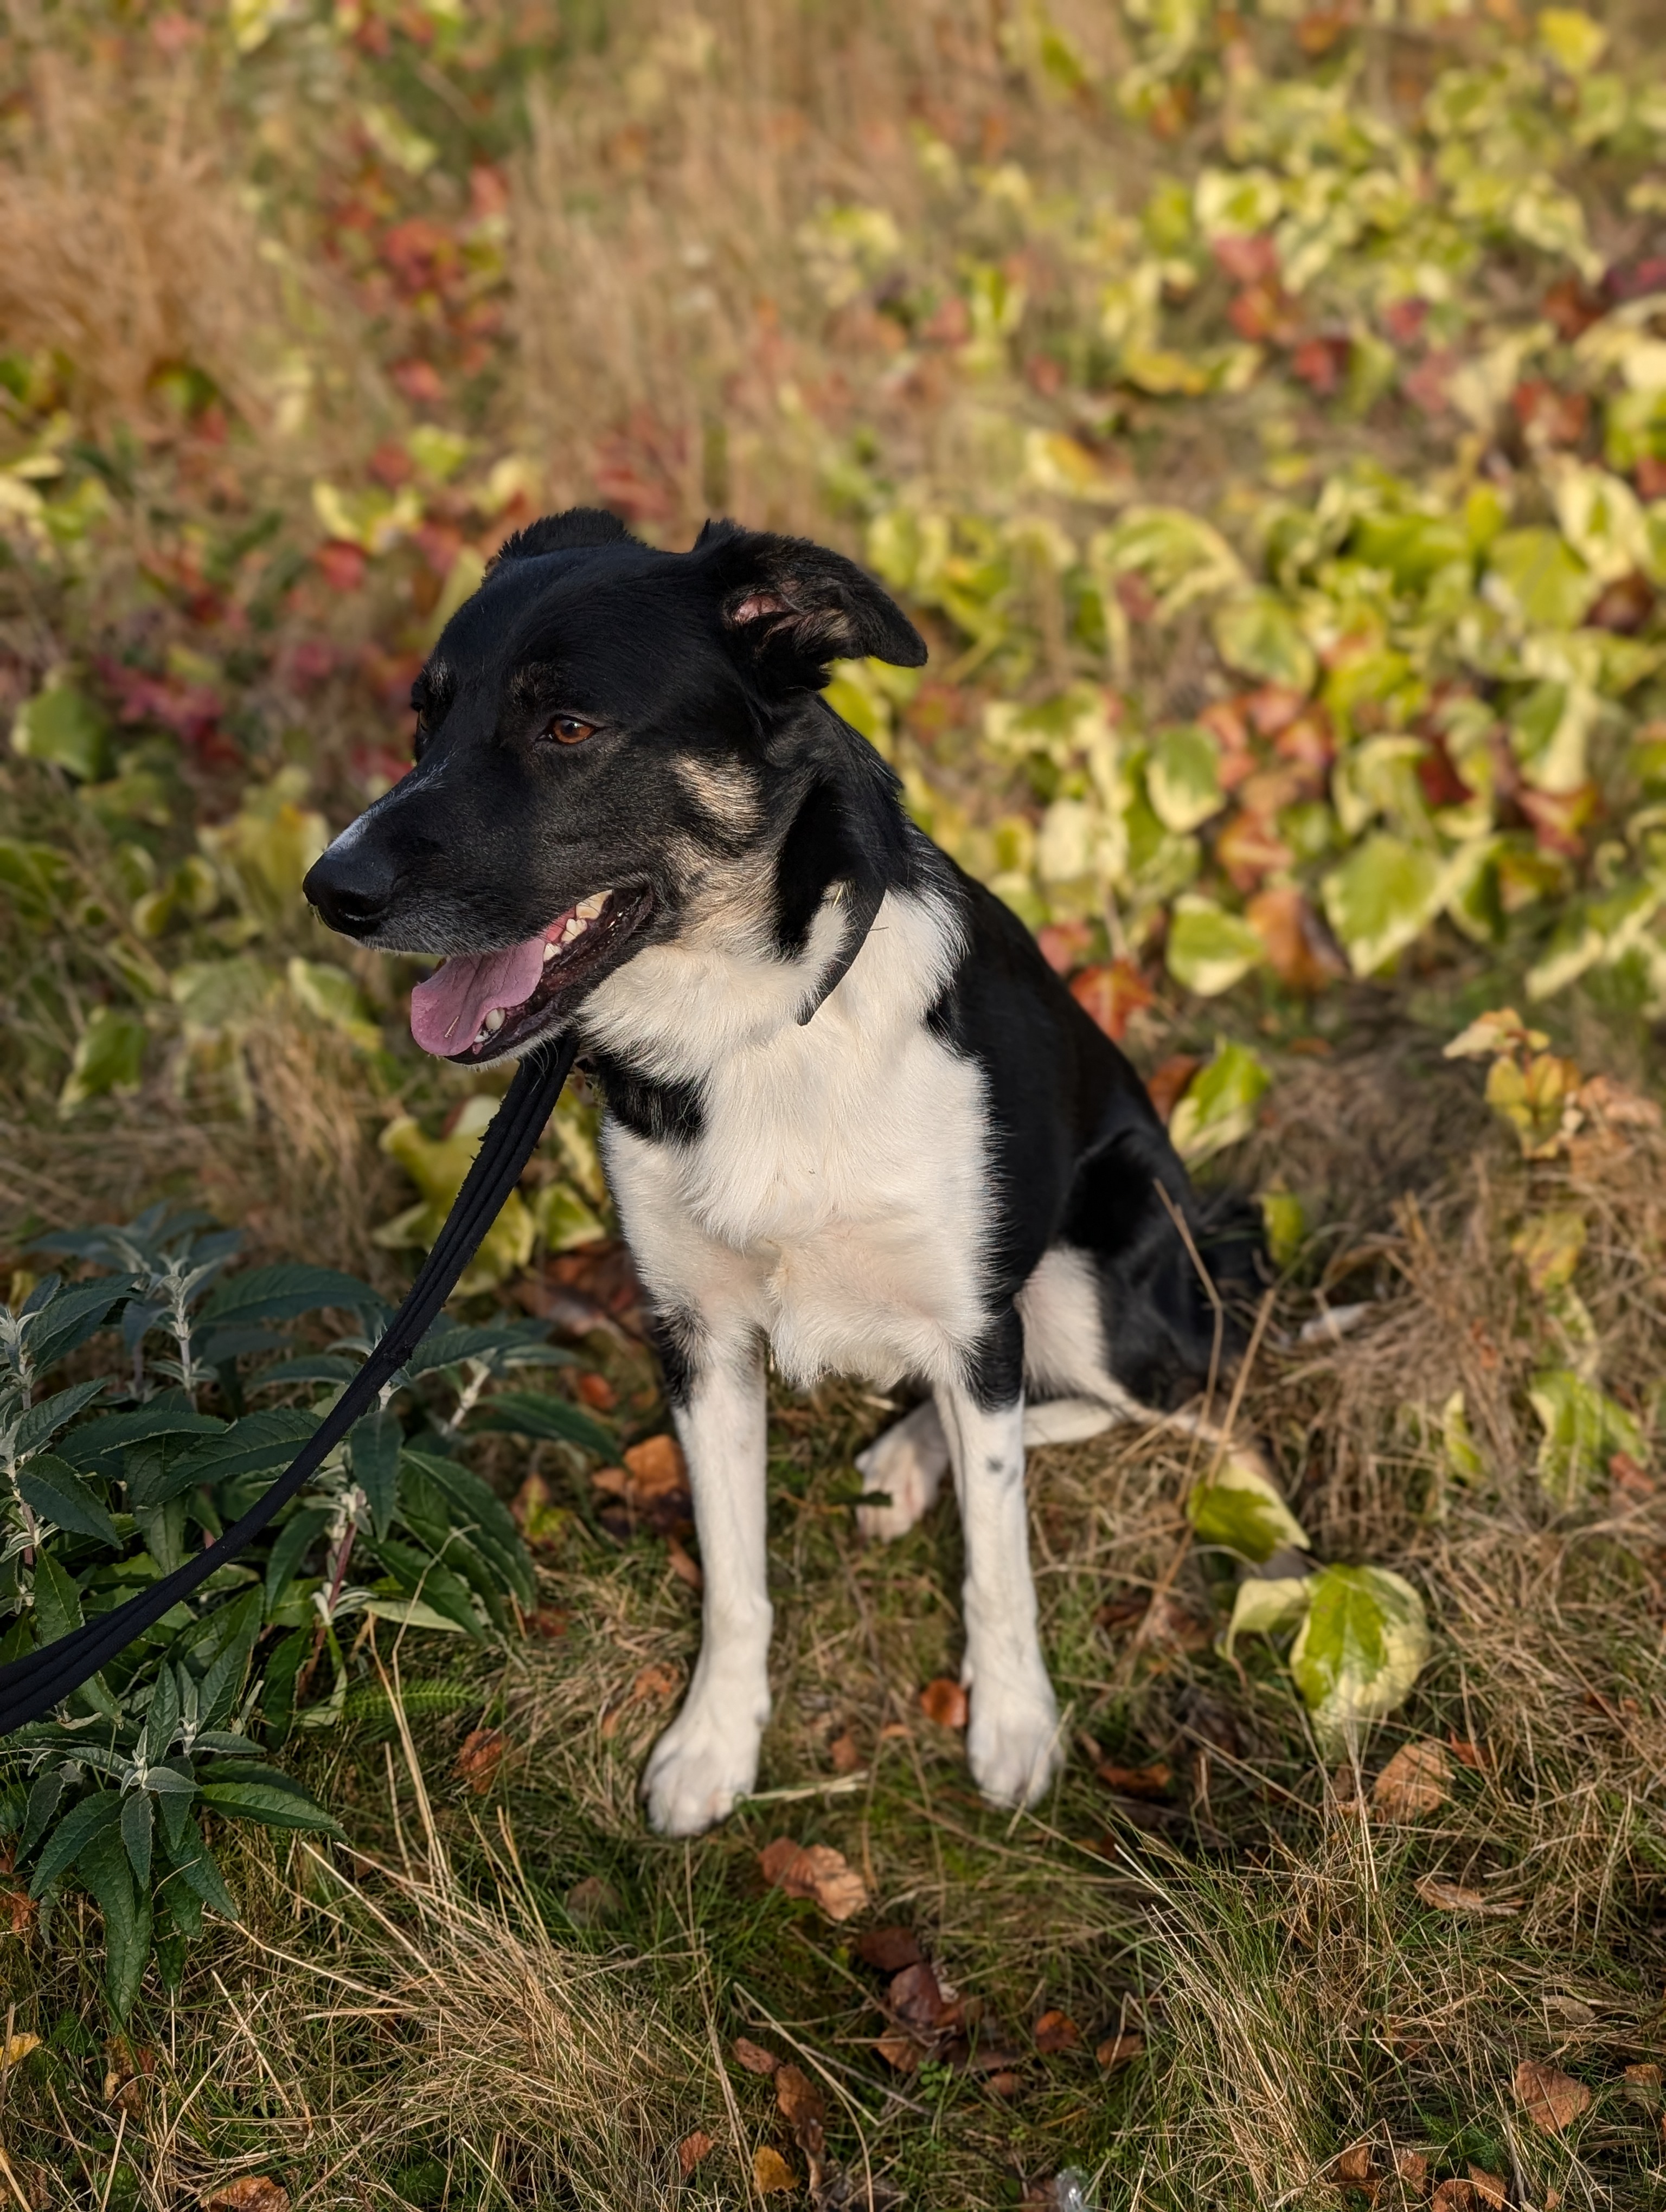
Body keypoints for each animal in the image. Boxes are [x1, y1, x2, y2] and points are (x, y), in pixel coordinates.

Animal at [303, 509, 1257, 1840]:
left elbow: (1000, 1557)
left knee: (1142, 1399)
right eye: (422, 721)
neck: (755, 1027)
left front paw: (1015, 1726)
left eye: (567, 727)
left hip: (1093, 1278)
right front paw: (715, 1744)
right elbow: (735, 1572)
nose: (330, 889)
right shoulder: (696, 1335)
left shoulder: (975, 1317)